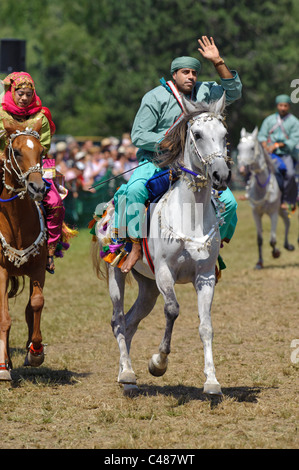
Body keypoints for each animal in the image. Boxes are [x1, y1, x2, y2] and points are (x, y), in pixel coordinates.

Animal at [92, 95, 231, 396]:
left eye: (225, 135)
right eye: (197, 134)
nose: (221, 174)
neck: (190, 215)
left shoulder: (205, 277)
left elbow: (206, 326)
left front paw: (212, 381)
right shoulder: (166, 273)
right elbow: (173, 310)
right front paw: (158, 362)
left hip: (147, 287)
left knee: (131, 321)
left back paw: (126, 375)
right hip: (116, 274)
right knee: (118, 320)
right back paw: (128, 372)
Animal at [239, 129, 296, 270]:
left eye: (252, 148)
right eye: (239, 148)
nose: (242, 169)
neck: (262, 188)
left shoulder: (273, 212)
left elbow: (272, 240)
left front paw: (276, 252)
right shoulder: (256, 213)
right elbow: (259, 239)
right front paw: (259, 262)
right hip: (281, 209)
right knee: (287, 222)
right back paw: (288, 246)